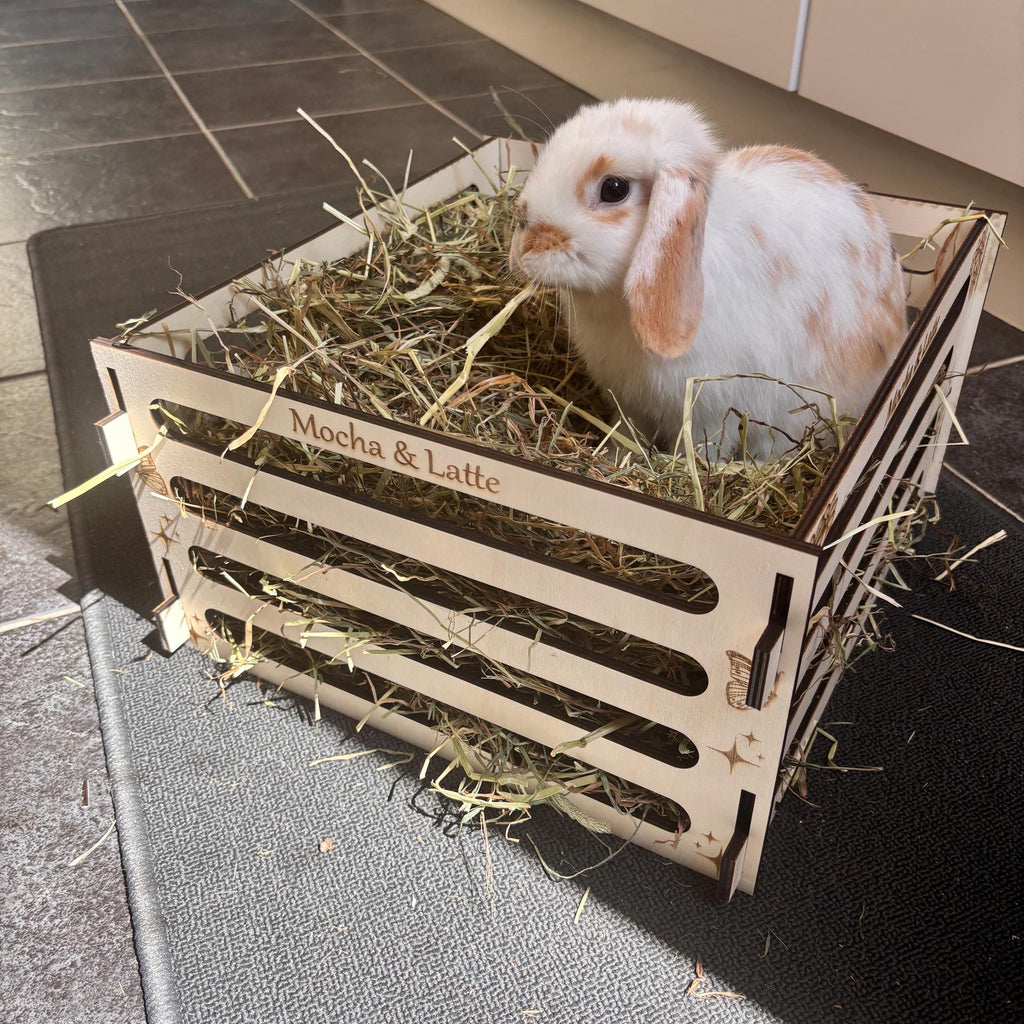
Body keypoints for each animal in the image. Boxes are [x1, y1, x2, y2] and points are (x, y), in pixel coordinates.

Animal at [509, 98, 907, 459]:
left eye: (614, 189)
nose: (523, 232)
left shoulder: (710, 411)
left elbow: (703, 448)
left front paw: (687, 469)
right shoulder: (629, 401)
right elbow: (627, 432)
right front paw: (614, 458)